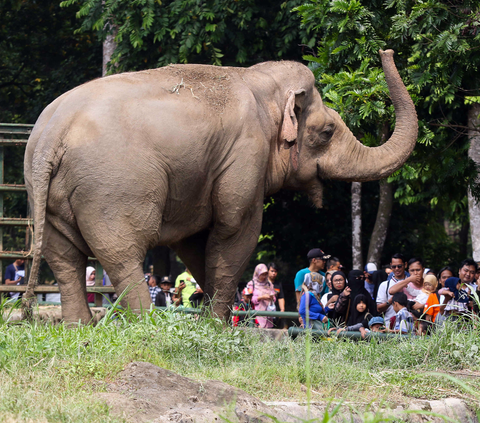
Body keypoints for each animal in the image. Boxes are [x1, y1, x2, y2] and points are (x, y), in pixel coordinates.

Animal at [23, 49, 416, 322]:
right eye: (327, 131)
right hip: (113, 189)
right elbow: (234, 230)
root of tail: (50, 135)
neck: (259, 80)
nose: (386, 51)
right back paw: (147, 325)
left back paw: (79, 328)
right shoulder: (244, 155)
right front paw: (219, 326)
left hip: (48, 192)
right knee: (123, 256)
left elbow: (196, 242)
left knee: (64, 259)